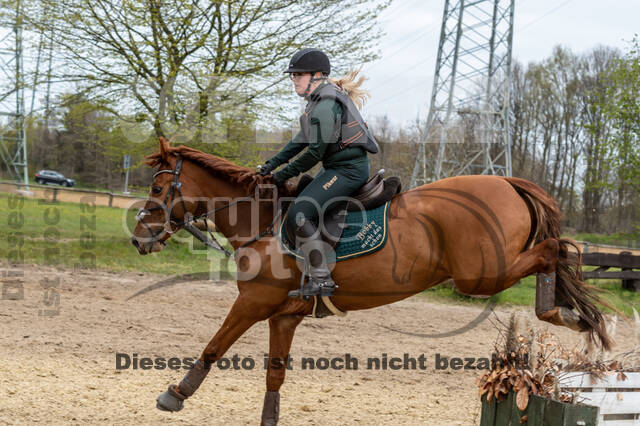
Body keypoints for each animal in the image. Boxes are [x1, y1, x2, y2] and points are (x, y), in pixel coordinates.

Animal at [129, 138, 608, 424]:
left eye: (156, 189)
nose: (137, 238)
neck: (262, 222)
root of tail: (505, 180)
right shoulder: (284, 316)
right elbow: (274, 376)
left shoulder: (254, 303)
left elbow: (214, 347)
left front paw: (175, 393)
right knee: (554, 253)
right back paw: (570, 313)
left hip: (481, 275)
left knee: (556, 249)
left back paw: (560, 310)